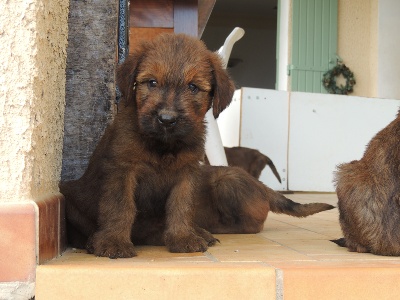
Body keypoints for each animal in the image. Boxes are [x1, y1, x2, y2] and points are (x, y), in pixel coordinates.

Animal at [60, 33, 334, 258]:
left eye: (193, 87)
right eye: (151, 82)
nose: (167, 119)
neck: (164, 146)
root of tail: (263, 188)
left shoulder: (186, 174)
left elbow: (181, 207)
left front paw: (182, 237)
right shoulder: (123, 170)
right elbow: (120, 207)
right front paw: (114, 241)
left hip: (227, 182)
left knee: (251, 225)